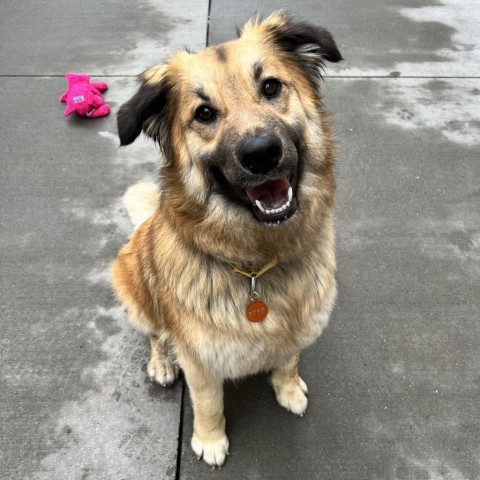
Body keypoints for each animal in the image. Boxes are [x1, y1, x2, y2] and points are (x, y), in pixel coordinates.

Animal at [111, 11, 344, 466]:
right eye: (204, 113)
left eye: (270, 87)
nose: (261, 153)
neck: (257, 264)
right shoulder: (200, 362)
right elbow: (208, 404)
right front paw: (211, 440)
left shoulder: (296, 328)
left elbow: (287, 360)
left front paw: (289, 389)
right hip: (134, 285)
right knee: (155, 334)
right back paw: (161, 364)